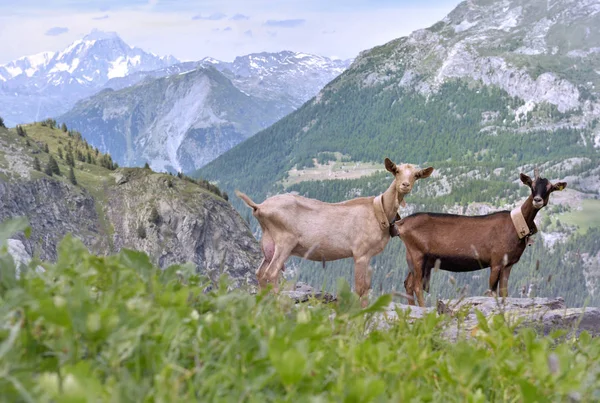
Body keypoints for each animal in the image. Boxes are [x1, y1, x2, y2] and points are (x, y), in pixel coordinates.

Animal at [234, 159, 432, 306]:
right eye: (396, 171)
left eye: (416, 175)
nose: (405, 185)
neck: (379, 210)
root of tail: (259, 207)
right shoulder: (360, 253)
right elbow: (360, 288)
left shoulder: (368, 256)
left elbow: (367, 287)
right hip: (285, 241)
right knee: (271, 273)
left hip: (268, 243)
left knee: (260, 273)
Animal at [392, 170, 564, 306]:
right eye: (531, 186)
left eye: (550, 188)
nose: (537, 200)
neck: (515, 226)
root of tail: (400, 224)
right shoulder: (495, 261)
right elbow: (491, 291)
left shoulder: (508, 264)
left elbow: (504, 293)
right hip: (417, 254)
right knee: (416, 286)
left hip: (416, 258)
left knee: (408, 283)